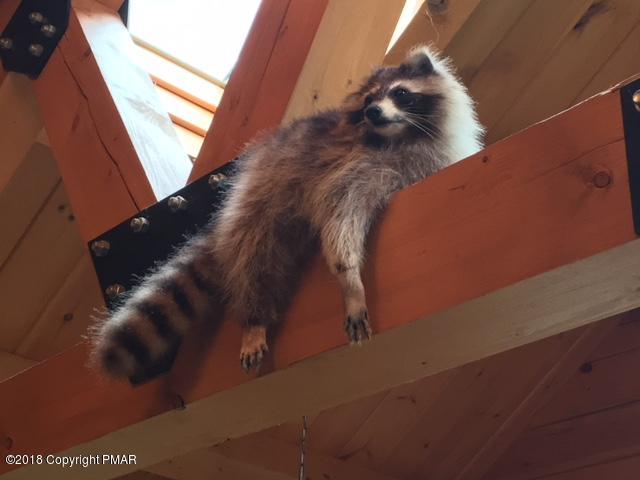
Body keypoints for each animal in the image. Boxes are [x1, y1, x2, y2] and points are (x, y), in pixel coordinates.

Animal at [90, 45, 484, 380]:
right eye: (369, 101)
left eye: (400, 93)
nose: (373, 112)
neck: (401, 136)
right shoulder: (350, 165)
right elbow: (339, 214)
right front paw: (350, 280)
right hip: (258, 203)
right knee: (256, 259)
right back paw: (255, 318)